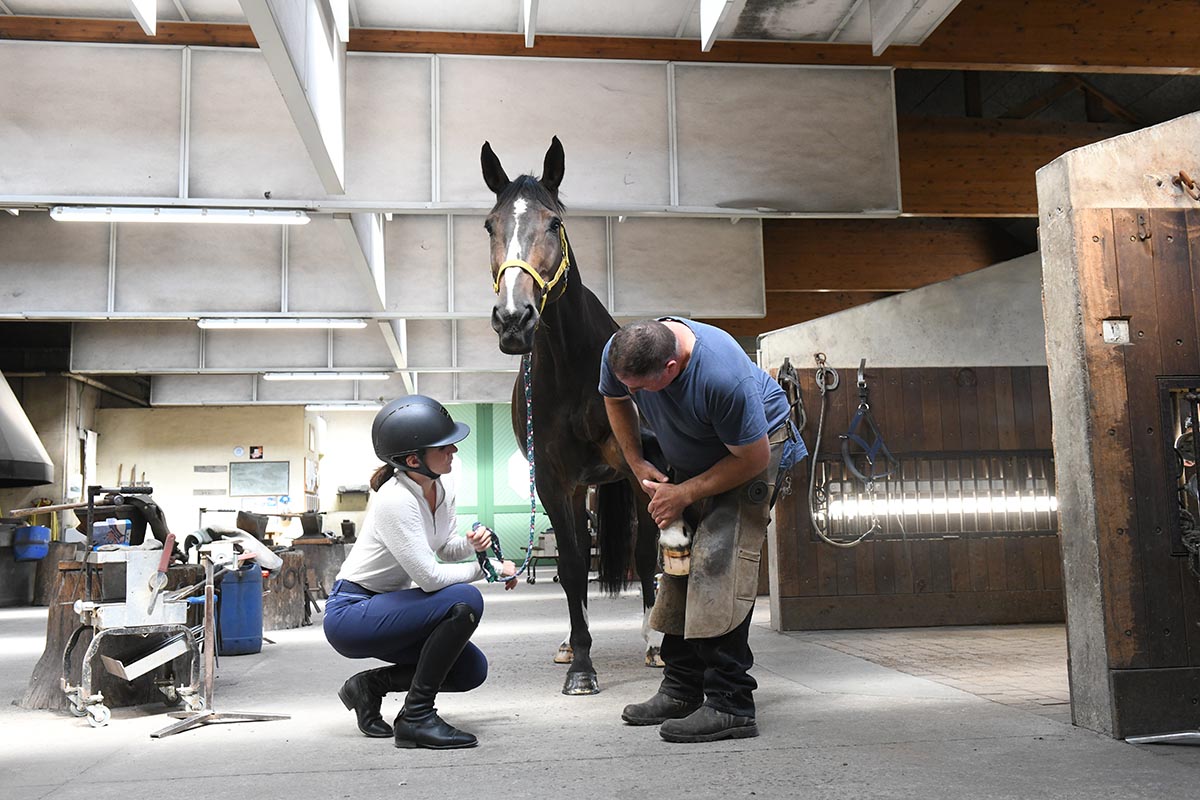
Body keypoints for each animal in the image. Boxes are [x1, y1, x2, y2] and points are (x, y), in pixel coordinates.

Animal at [482, 137, 662, 695]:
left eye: (554, 223)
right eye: (490, 225)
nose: (513, 319)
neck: (573, 365)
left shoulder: (637, 471)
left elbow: (644, 554)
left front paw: (655, 644)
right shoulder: (554, 480)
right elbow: (572, 560)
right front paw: (581, 661)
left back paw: (653, 636)